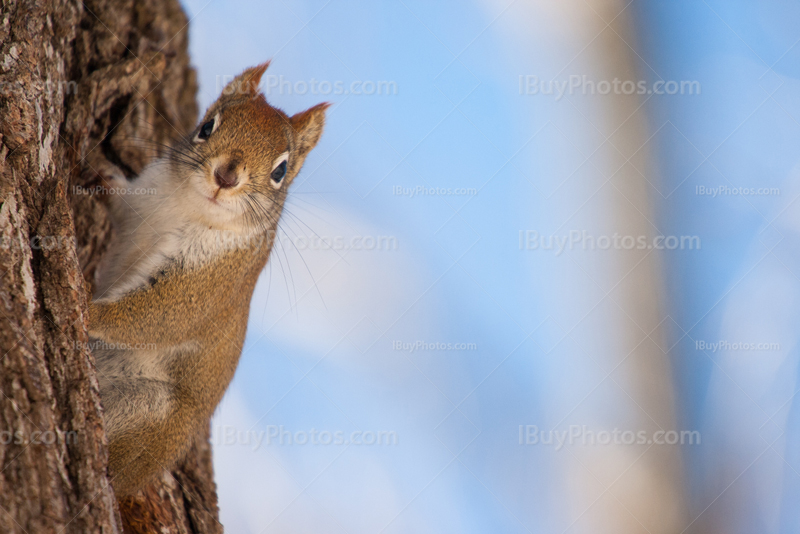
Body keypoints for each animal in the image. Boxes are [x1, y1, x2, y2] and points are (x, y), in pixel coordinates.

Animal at [86, 62, 326, 498]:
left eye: (281, 170)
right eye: (207, 126)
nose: (226, 176)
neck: (186, 206)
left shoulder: (216, 279)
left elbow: (162, 314)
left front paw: (86, 309)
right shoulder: (139, 201)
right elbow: (119, 197)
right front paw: (98, 170)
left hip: (151, 414)